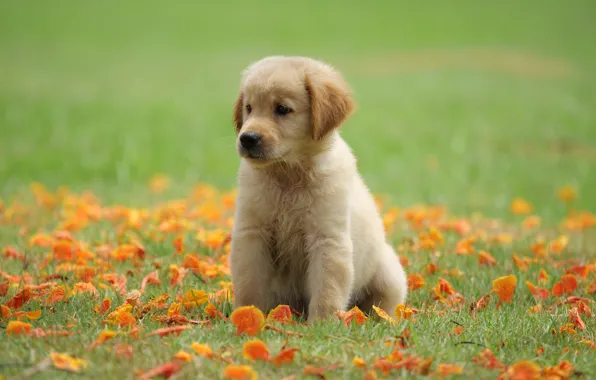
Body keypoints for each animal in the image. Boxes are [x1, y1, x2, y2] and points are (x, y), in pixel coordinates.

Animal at [228, 55, 406, 324]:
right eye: (249, 108)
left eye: (282, 109)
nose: (247, 138)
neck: (288, 176)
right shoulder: (252, 233)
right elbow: (250, 283)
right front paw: (248, 315)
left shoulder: (328, 239)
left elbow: (327, 289)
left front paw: (321, 325)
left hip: (389, 273)